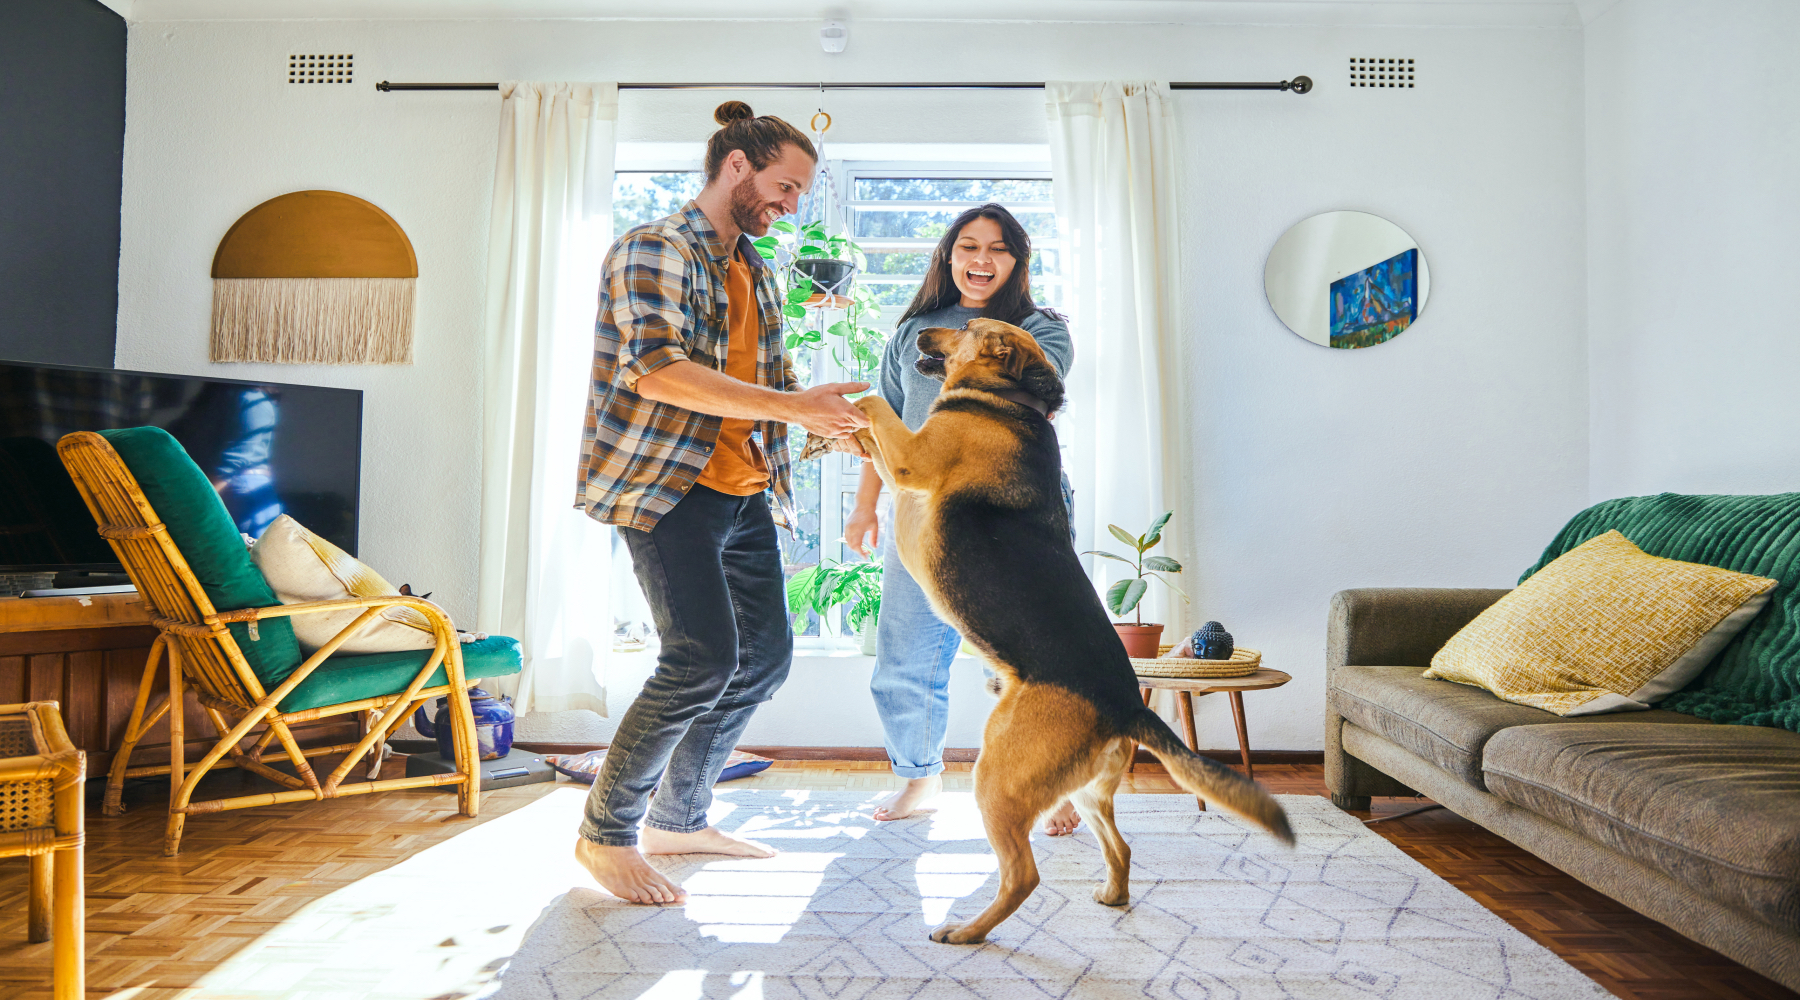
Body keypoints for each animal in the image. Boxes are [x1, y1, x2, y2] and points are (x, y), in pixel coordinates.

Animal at [842, 320, 1296, 942]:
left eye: (966, 326)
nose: (914, 332)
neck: (1012, 399)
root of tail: (1126, 705)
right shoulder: (900, 466)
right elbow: (869, 436)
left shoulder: (912, 458)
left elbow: (872, 408)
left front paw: (844, 399)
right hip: (1084, 790)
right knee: (1120, 848)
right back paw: (1110, 895)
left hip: (997, 777)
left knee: (1022, 876)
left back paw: (966, 933)